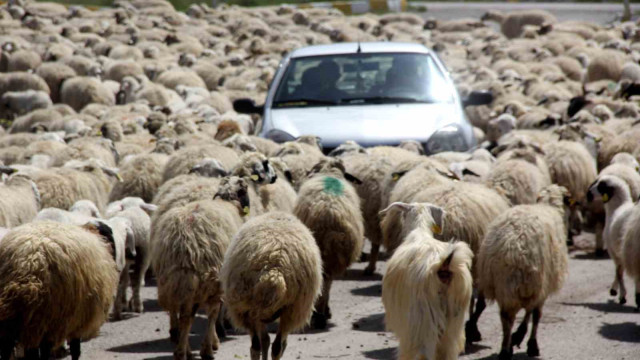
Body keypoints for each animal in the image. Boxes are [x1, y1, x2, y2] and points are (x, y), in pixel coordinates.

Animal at [292, 158, 362, 330]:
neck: (330, 172)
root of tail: (330, 214)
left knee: (324, 283)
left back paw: (320, 315)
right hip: (333, 256)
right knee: (327, 283)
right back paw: (321, 315)